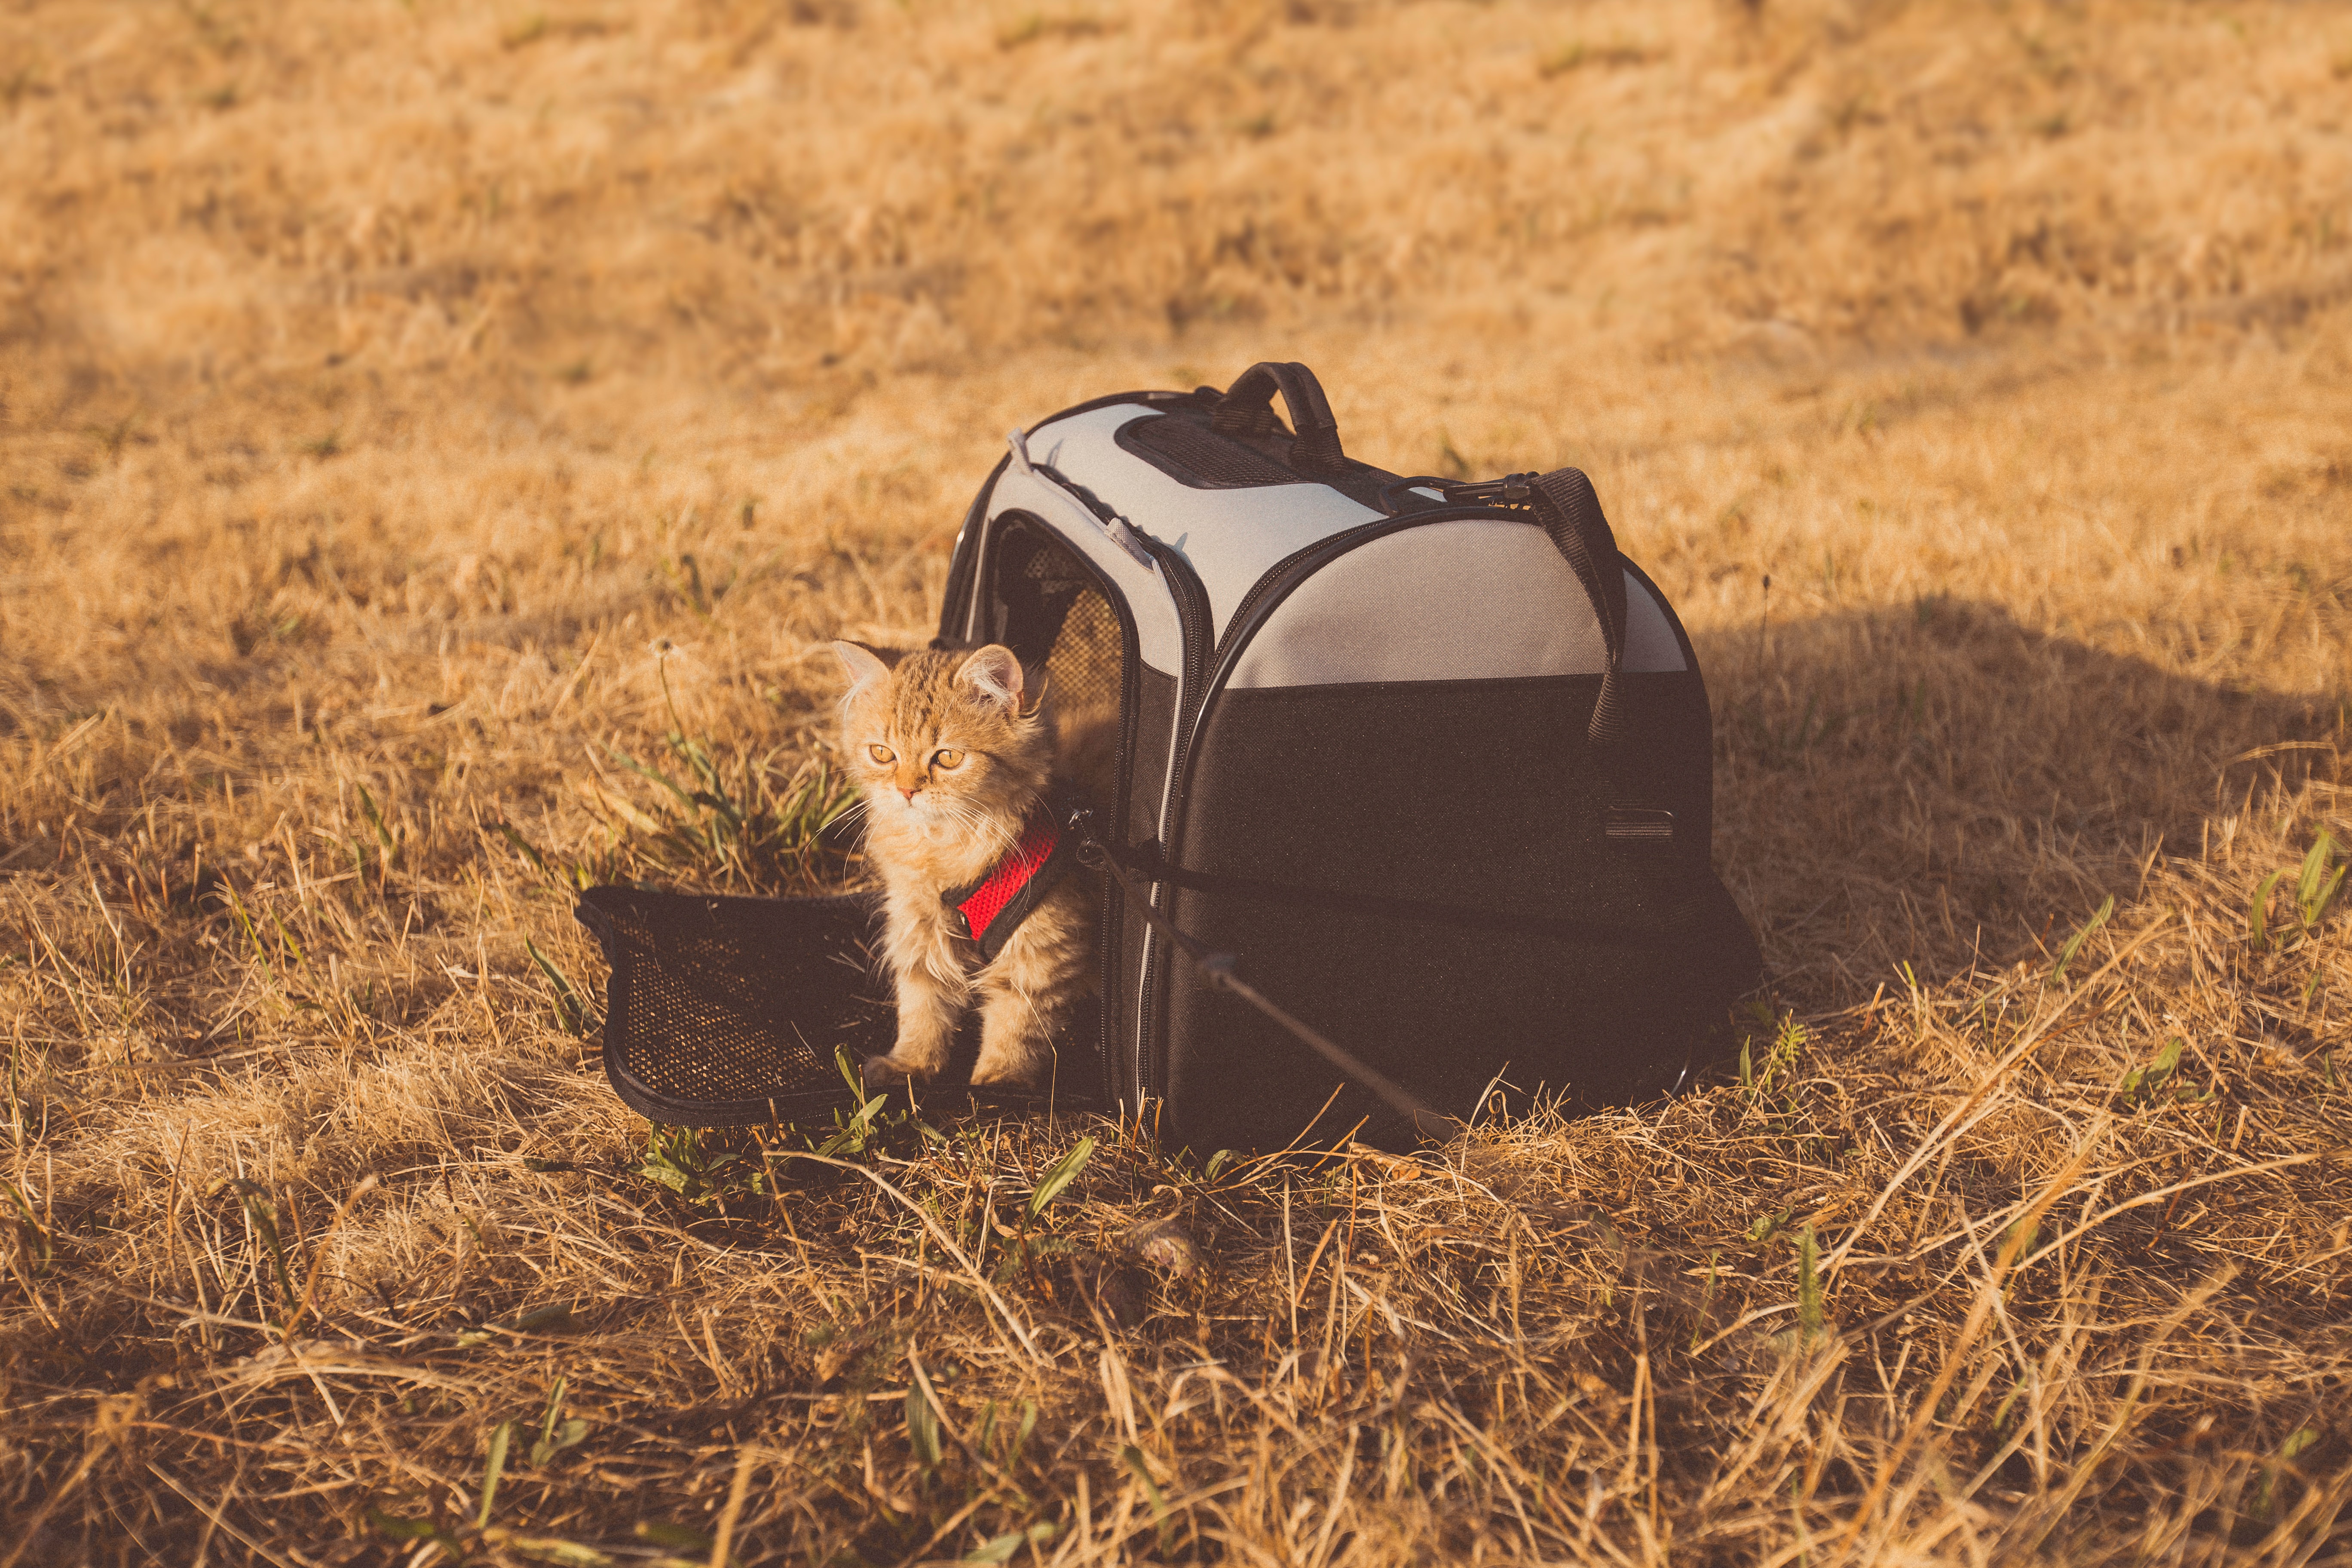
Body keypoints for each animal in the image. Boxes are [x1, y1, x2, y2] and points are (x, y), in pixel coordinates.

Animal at [837, 639, 1110, 1090]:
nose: (906, 790)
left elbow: (1015, 1027)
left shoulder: (1040, 951)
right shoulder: (918, 926)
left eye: (948, 758)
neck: (946, 850)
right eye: (882, 754)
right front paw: (909, 1067)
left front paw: (998, 1084)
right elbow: (921, 1007)